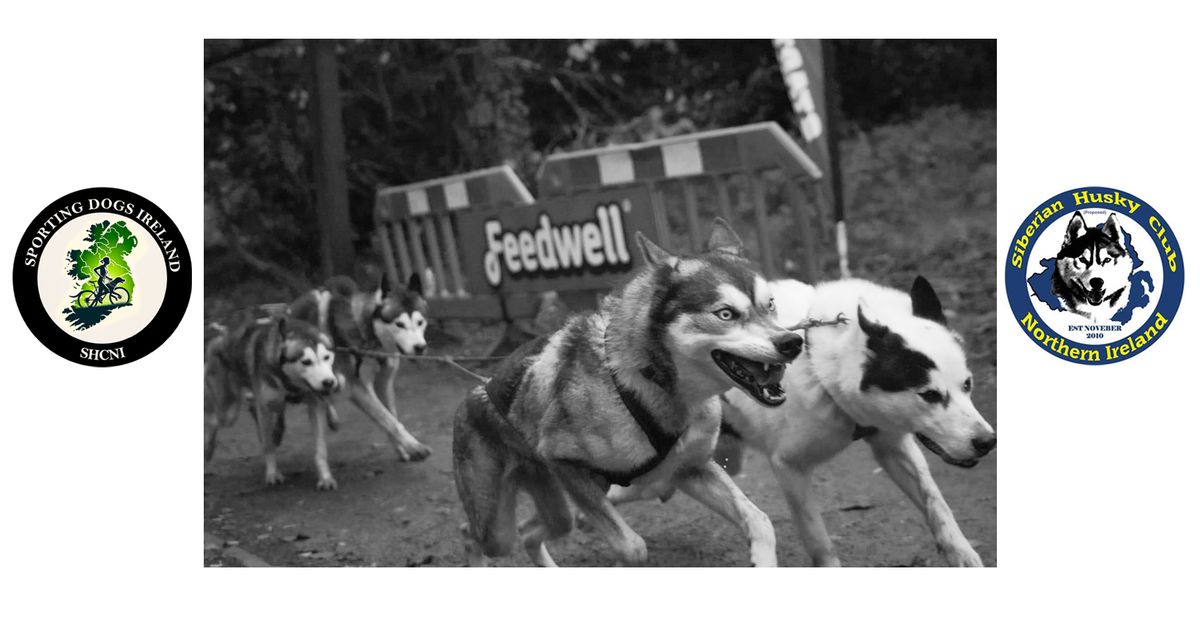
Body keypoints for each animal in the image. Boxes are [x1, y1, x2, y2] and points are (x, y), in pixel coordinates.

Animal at [206, 312, 343, 489]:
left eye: (326, 357)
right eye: (306, 361)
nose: (329, 382)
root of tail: (218, 339)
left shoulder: (315, 402)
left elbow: (321, 448)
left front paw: (325, 477)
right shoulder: (265, 407)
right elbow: (268, 445)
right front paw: (273, 474)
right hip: (228, 411)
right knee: (215, 420)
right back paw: (208, 448)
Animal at [286, 274, 434, 465]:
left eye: (420, 322)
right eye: (399, 324)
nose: (420, 347)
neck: (366, 332)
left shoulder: (384, 382)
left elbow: (391, 416)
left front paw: (402, 449)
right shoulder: (358, 387)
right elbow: (389, 420)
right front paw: (415, 447)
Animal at [451, 220, 806, 569]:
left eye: (770, 304)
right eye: (726, 314)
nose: (791, 342)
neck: (651, 383)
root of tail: (474, 392)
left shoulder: (691, 469)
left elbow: (760, 520)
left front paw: (762, 561)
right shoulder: (564, 462)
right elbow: (632, 547)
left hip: (556, 509)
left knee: (533, 532)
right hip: (498, 527)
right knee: (471, 532)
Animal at [609, 274, 993, 564]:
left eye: (968, 385)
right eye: (929, 395)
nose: (987, 442)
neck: (819, 362)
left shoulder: (891, 445)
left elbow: (936, 504)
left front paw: (961, 553)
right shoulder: (790, 469)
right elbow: (820, 543)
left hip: (687, 471)